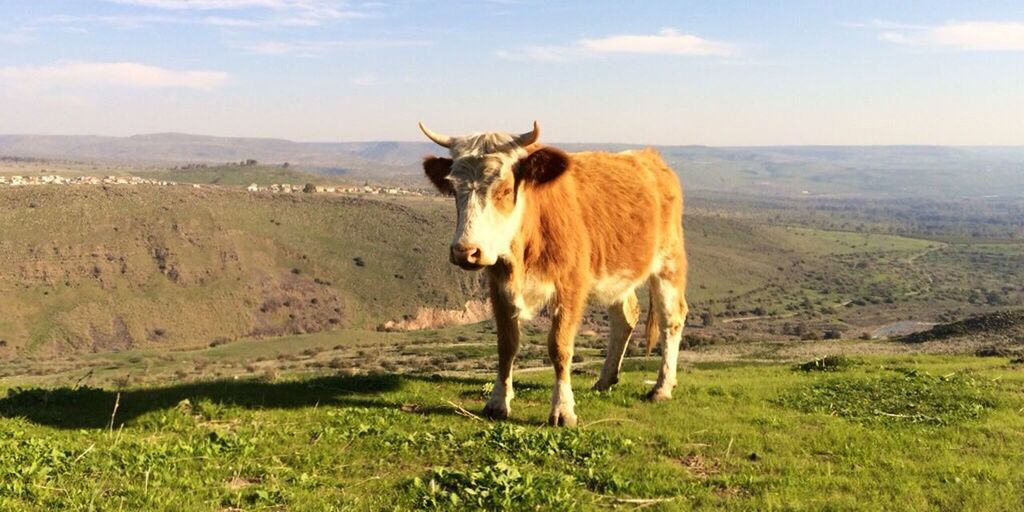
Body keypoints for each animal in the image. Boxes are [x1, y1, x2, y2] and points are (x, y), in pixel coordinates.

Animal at [415, 121, 688, 425]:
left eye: (505, 189)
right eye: (453, 189)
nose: (465, 251)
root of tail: (649, 158)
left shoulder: (570, 286)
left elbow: (560, 346)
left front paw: (562, 409)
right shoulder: (498, 286)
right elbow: (506, 344)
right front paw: (498, 402)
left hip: (669, 262)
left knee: (671, 319)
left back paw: (662, 387)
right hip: (618, 275)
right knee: (625, 317)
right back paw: (605, 380)